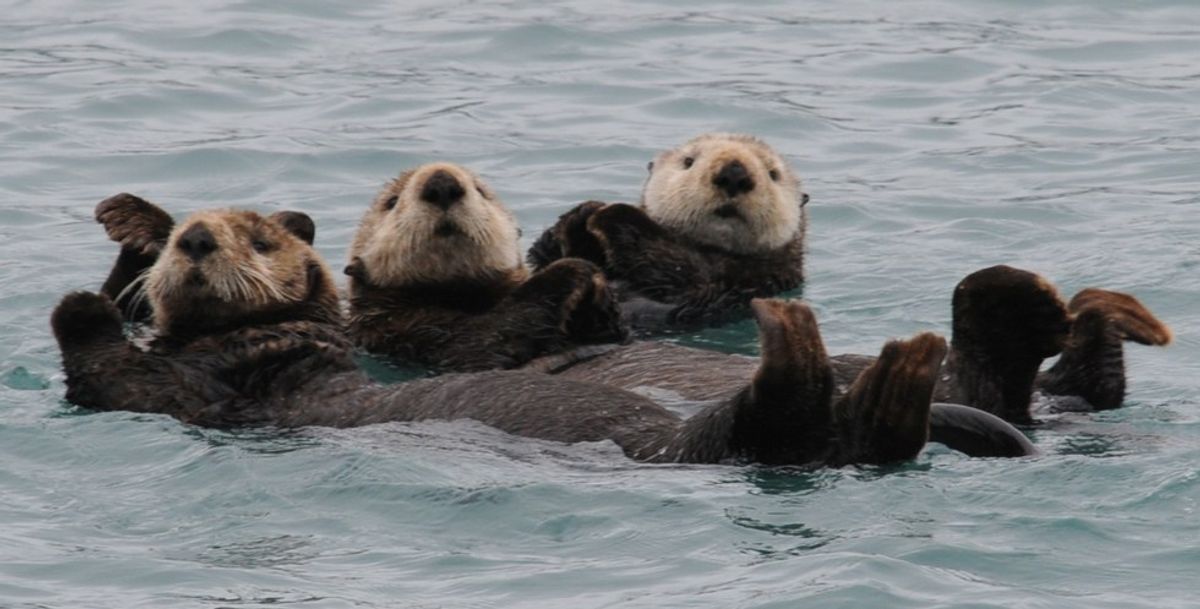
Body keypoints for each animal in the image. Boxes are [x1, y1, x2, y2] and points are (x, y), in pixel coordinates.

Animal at [53, 207, 954, 466]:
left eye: (261, 240)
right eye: (183, 239)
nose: (196, 239)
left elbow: (108, 363)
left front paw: (82, 299)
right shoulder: (188, 390)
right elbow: (120, 375)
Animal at [343, 163, 627, 372]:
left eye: (480, 191)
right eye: (391, 202)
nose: (442, 184)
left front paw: (583, 220)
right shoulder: (404, 333)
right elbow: (481, 342)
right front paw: (568, 270)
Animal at [528, 133, 806, 331]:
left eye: (773, 174)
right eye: (688, 161)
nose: (734, 174)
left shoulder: (747, 283)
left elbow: (676, 268)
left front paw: (610, 213)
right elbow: (544, 256)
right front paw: (582, 214)